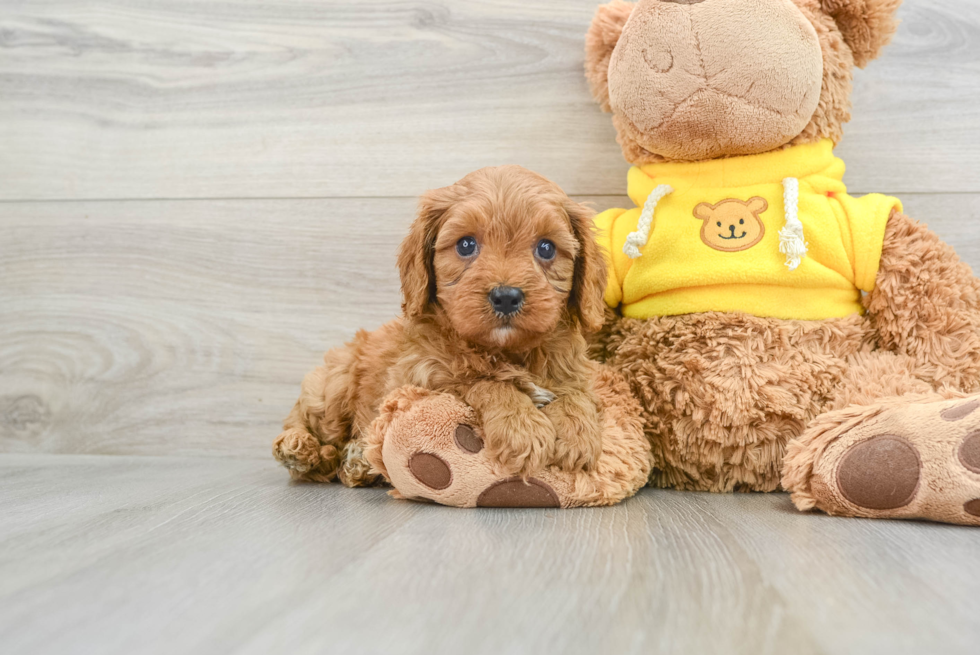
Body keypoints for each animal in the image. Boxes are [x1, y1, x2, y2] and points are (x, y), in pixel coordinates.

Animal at [272, 167, 608, 486]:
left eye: (546, 248)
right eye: (466, 245)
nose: (506, 297)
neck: (506, 350)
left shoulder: (574, 372)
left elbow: (575, 394)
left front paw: (576, 434)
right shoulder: (421, 377)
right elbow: (483, 382)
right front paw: (521, 428)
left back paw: (357, 462)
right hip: (333, 385)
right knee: (306, 425)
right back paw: (299, 448)